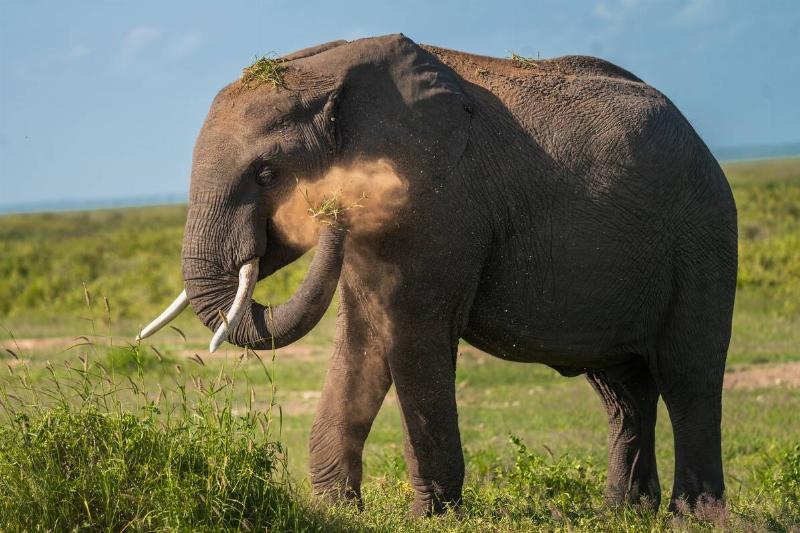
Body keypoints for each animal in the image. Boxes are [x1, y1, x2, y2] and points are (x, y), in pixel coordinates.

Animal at [138, 34, 737, 516]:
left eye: (267, 173)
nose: (330, 206)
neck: (334, 75)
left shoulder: (439, 200)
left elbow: (412, 334)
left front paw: (430, 517)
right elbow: (364, 337)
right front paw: (338, 510)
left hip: (703, 236)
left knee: (689, 375)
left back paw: (693, 516)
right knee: (622, 391)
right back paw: (624, 512)